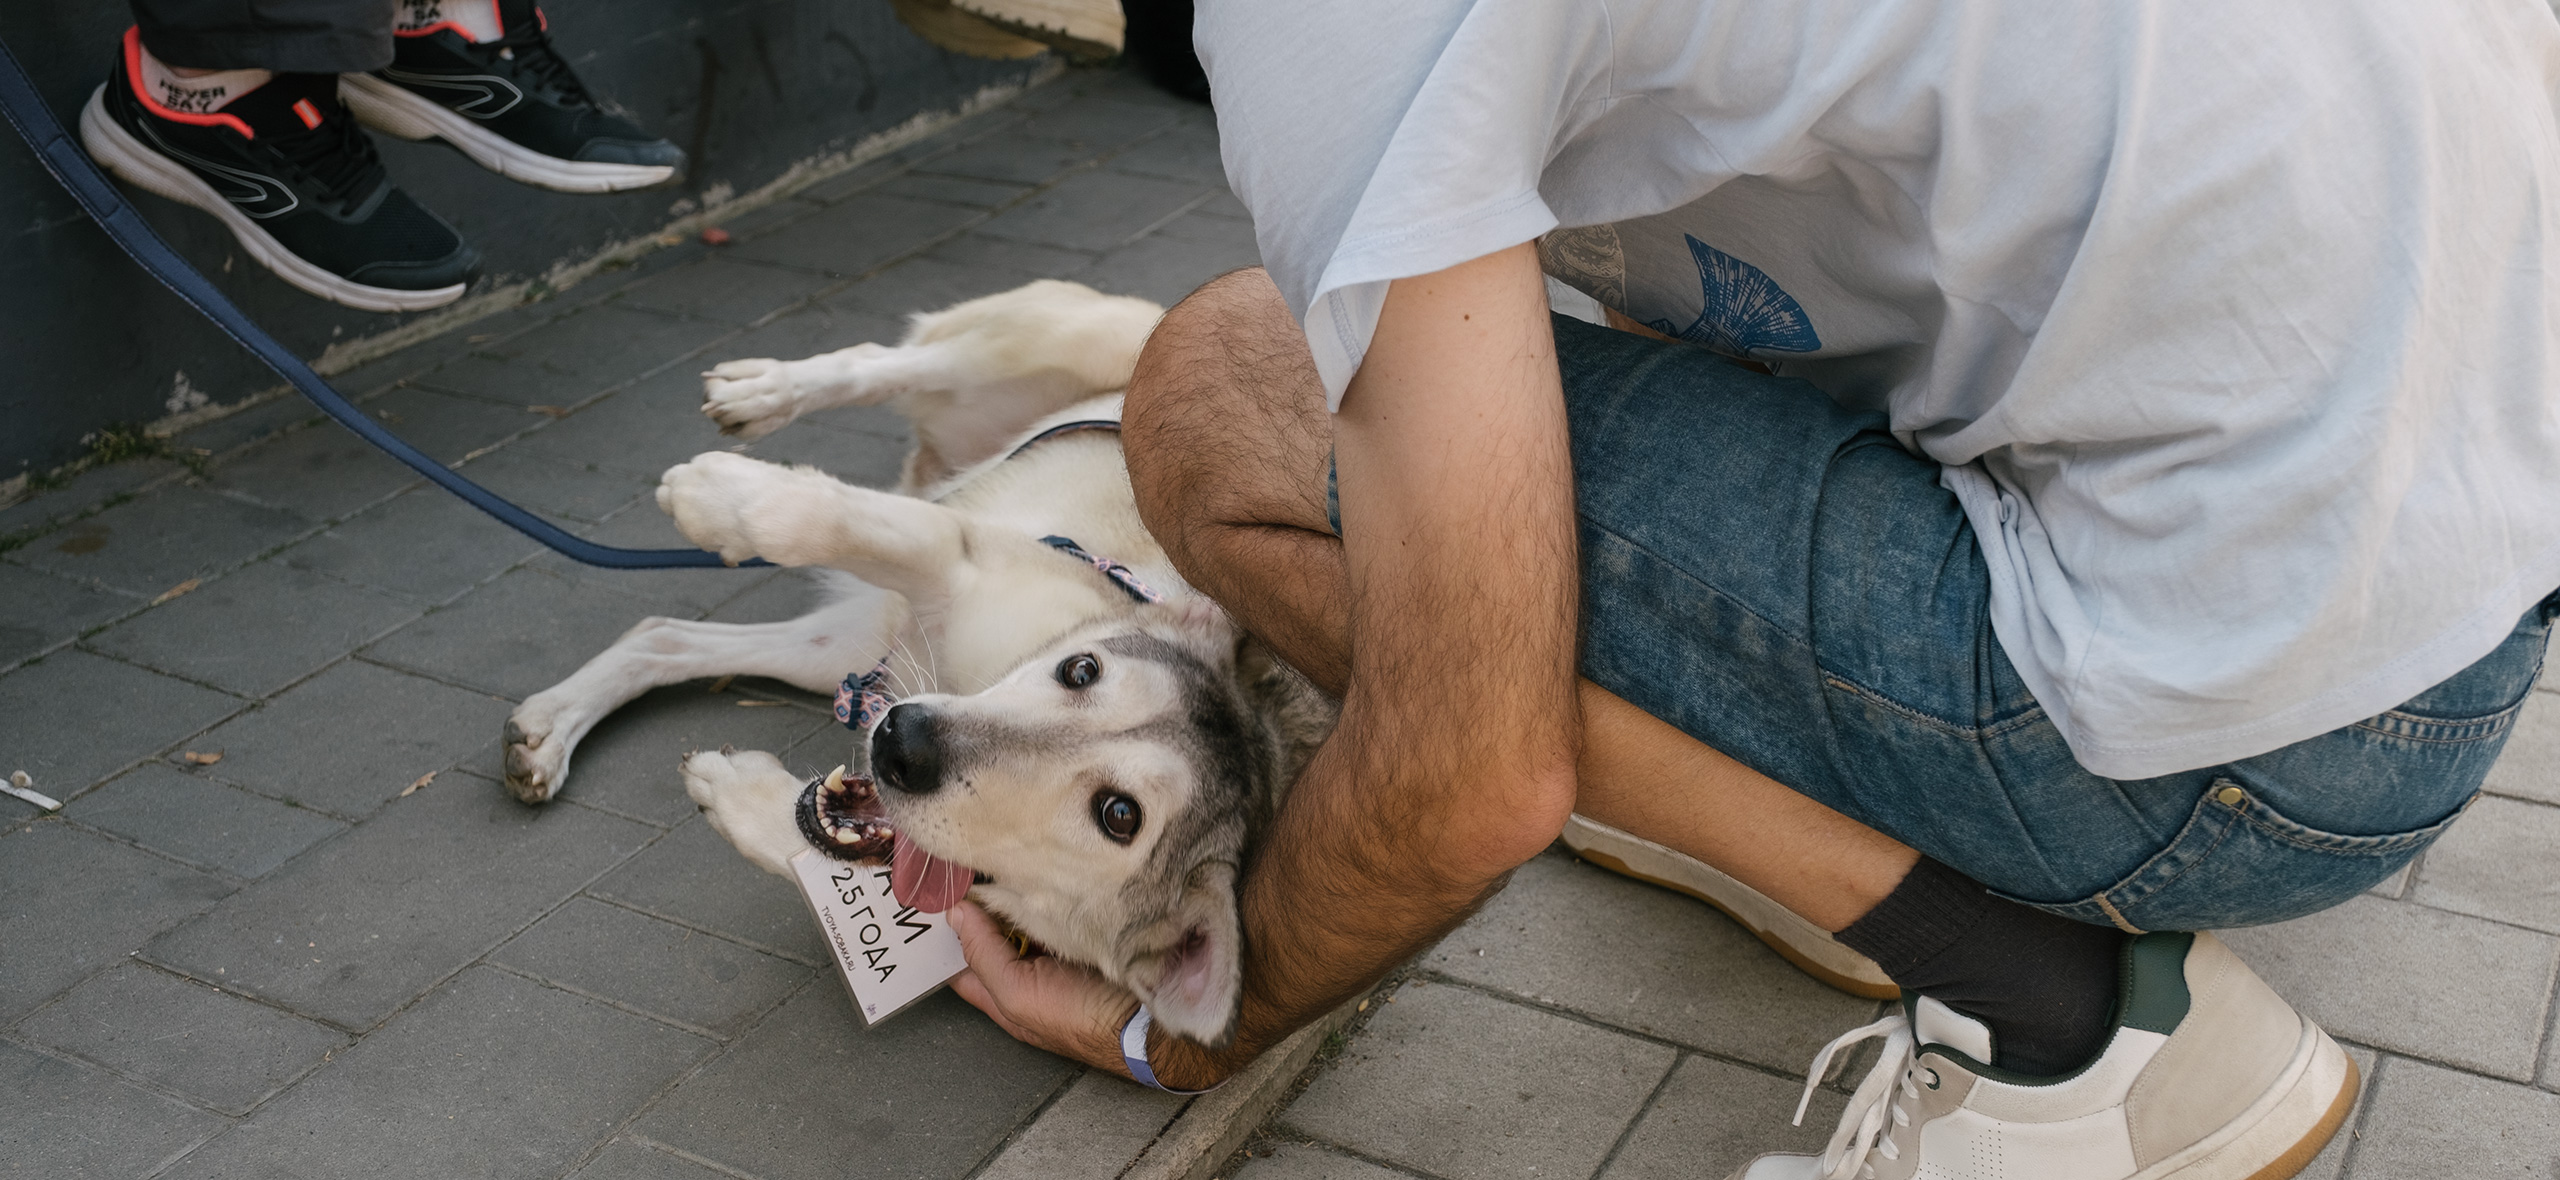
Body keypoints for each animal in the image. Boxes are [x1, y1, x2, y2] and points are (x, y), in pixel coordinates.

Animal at [504, 280, 1341, 1044]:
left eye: (1119, 816)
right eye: (1081, 671)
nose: (902, 743)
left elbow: (821, 850)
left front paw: (741, 794)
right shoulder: (963, 554)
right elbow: (823, 518)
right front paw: (719, 494)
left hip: (838, 649)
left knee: (665, 633)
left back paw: (547, 730)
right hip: (1073, 343)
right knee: (883, 360)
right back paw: (760, 393)